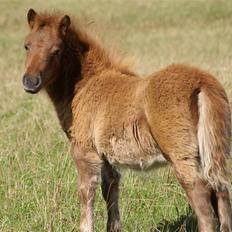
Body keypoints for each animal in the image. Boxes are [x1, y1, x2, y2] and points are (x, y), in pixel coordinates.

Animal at [22, 8, 231, 232]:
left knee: (201, 196)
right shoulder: (107, 158)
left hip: (181, 155)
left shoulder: (85, 152)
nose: (30, 82)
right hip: (212, 152)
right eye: (27, 46)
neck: (85, 85)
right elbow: (110, 193)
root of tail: (202, 83)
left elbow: (86, 194)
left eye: (57, 50)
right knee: (221, 191)